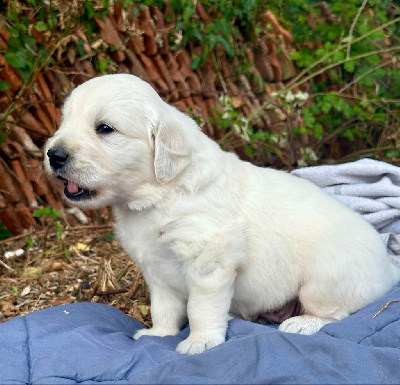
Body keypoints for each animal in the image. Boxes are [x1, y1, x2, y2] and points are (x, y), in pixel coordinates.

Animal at [44, 74, 400, 354]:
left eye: (104, 128)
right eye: (64, 122)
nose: (53, 154)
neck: (159, 196)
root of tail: (388, 268)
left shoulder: (210, 259)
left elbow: (199, 307)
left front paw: (199, 341)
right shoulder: (156, 270)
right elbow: (163, 307)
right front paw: (158, 334)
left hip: (324, 280)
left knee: (337, 313)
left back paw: (302, 323)